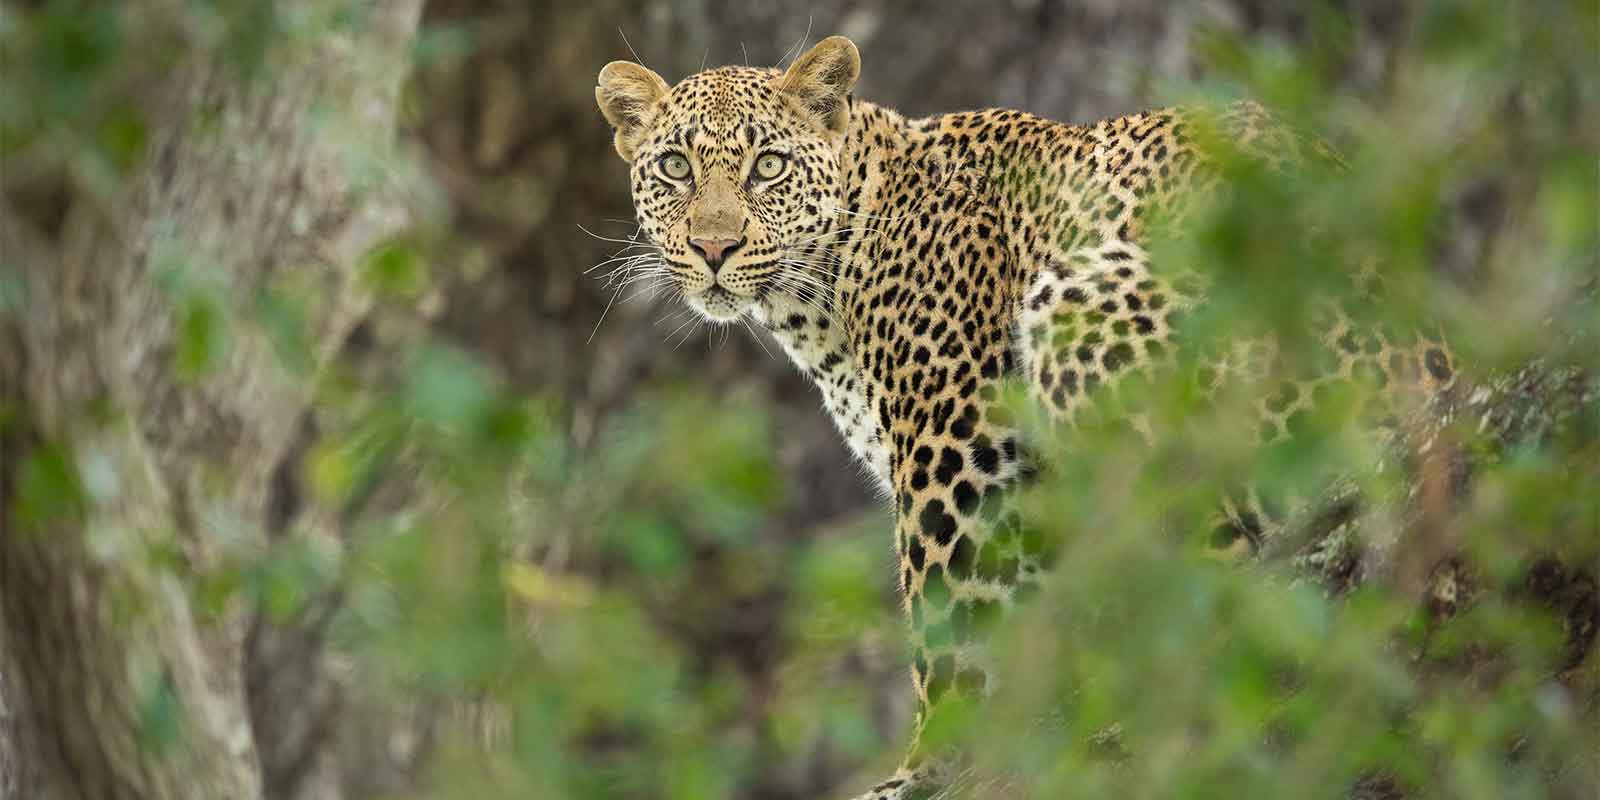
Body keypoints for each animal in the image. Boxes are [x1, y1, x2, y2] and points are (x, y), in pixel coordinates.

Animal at [594, 35, 1459, 799]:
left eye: (767, 165)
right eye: (674, 167)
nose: (713, 247)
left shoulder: (955, 449)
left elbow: (949, 625)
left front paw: (927, 770)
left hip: (1086, 306)